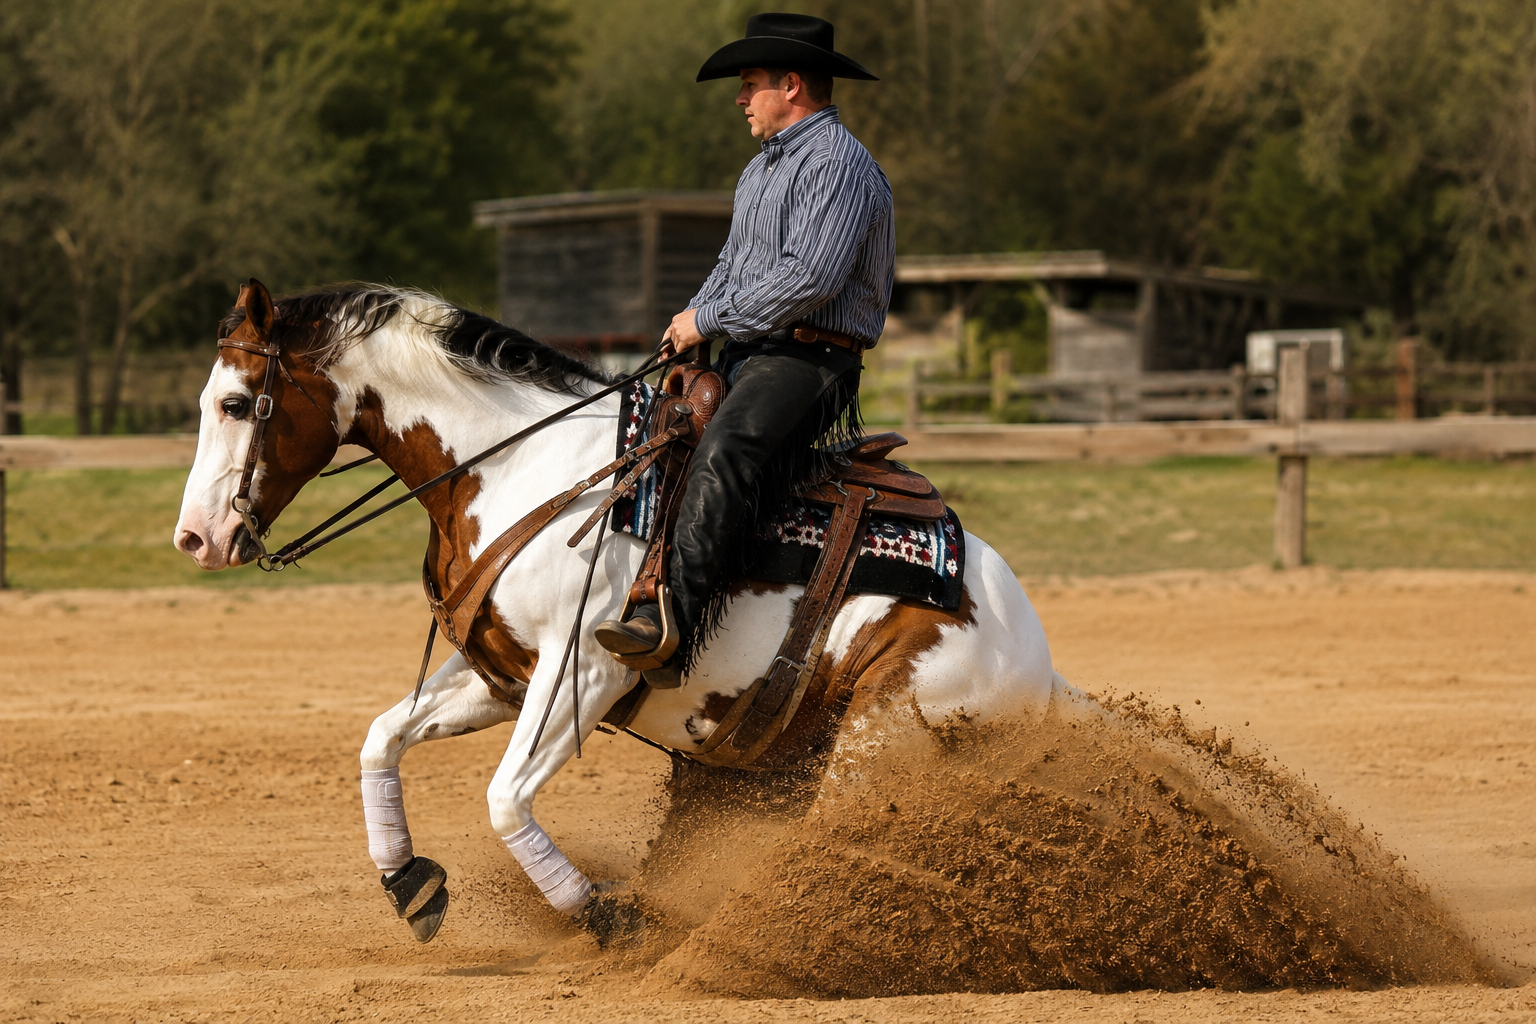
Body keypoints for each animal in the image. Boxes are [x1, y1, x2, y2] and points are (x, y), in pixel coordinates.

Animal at [173, 279, 1070, 940]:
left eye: (235, 403)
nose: (195, 537)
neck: (522, 468)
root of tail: (1037, 662)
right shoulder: (502, 674)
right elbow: (382, 737)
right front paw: (408, 880)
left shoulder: (585, 671)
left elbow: (505, 798)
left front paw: (609, 917)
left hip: (885, 736)